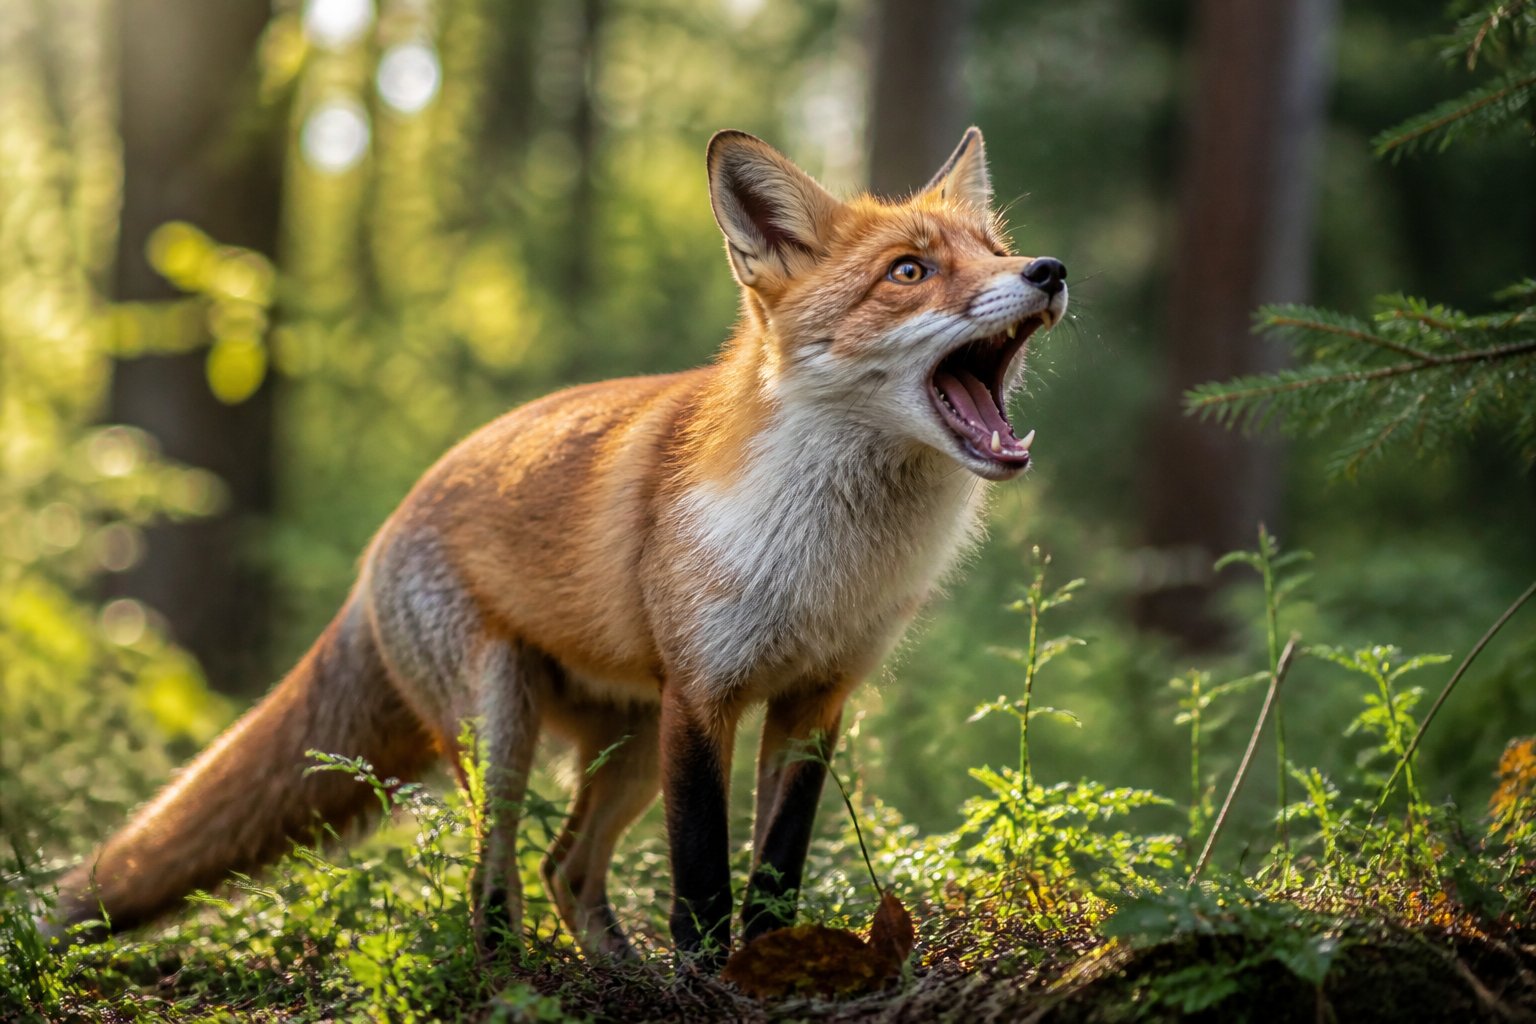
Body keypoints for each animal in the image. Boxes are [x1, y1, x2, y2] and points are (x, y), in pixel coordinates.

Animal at [49, 127, 1067, 965]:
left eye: (996, 251)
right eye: (909, 271)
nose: (1049, 269)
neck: (830, 558)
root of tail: (389, 527)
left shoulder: (816, 700)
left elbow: (775, 871)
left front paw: (774, 971)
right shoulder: (702, 697)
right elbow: (703, 885)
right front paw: (715, 984)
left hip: (626, 750)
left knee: (565, 870)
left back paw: (618, 975)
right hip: (505, 727)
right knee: (493, 878)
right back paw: (512, 977)